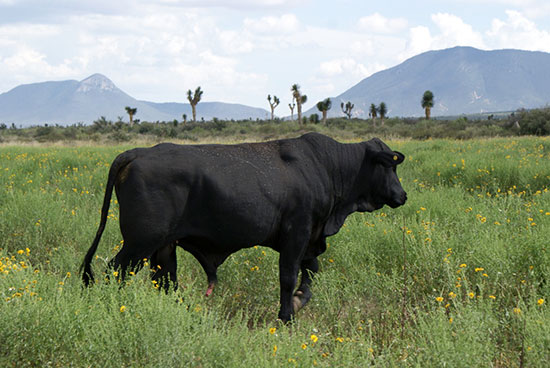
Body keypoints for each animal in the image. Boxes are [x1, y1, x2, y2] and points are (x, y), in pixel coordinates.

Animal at [83, 132, 410, 322]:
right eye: (389, 165)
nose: (402, 195)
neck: (326, 165)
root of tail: (137, 152)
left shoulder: (309, 239)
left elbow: (311, 272)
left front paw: (299, 301)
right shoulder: (297, 233)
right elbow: (288, 276)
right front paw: (287, 315)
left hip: (163, 245)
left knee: (165, 279)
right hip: (140, 242)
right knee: (115, 272)